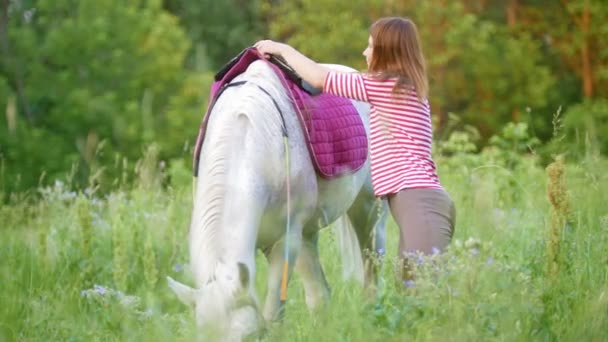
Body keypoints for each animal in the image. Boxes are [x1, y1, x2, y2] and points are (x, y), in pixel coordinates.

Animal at [167, 60, 384, 340]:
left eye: (248, 336)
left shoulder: (285, 242)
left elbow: (273, 315)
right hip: (309, 235)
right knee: (320, 295)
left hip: (369, 210)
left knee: (373, 266)